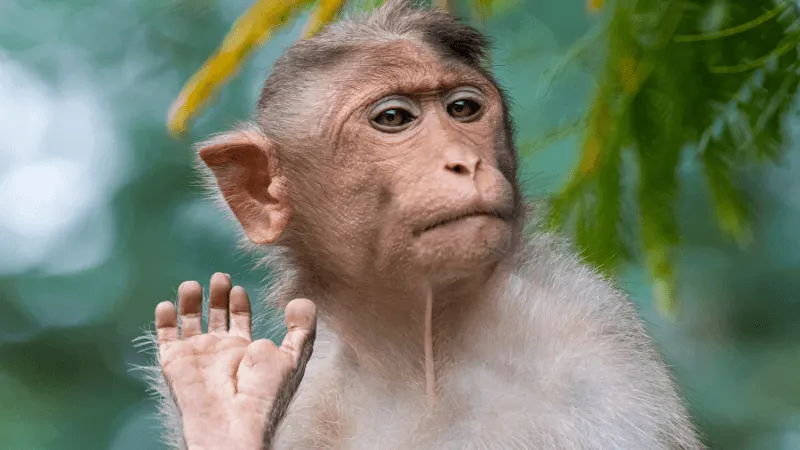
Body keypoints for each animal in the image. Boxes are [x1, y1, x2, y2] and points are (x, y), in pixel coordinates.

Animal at [144, 1, 704, 449]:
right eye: (393, 119)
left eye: (463, 109)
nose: (465, 162)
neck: (419, 350)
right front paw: (220, 400)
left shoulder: (591, 355)